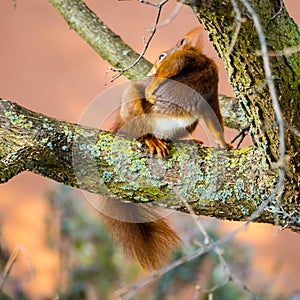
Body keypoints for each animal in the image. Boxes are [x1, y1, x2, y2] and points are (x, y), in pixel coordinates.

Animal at [103, 27, 232, 270]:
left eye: (161, 55)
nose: (150, 70)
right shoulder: (183, 60)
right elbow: (169, 70)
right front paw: (152, 87)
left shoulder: (210, 98)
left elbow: (215, 121)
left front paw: (224, 143)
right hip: (134, 110)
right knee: (139, 128)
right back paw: (150, 139)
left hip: (188, 124)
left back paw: (184, 142)